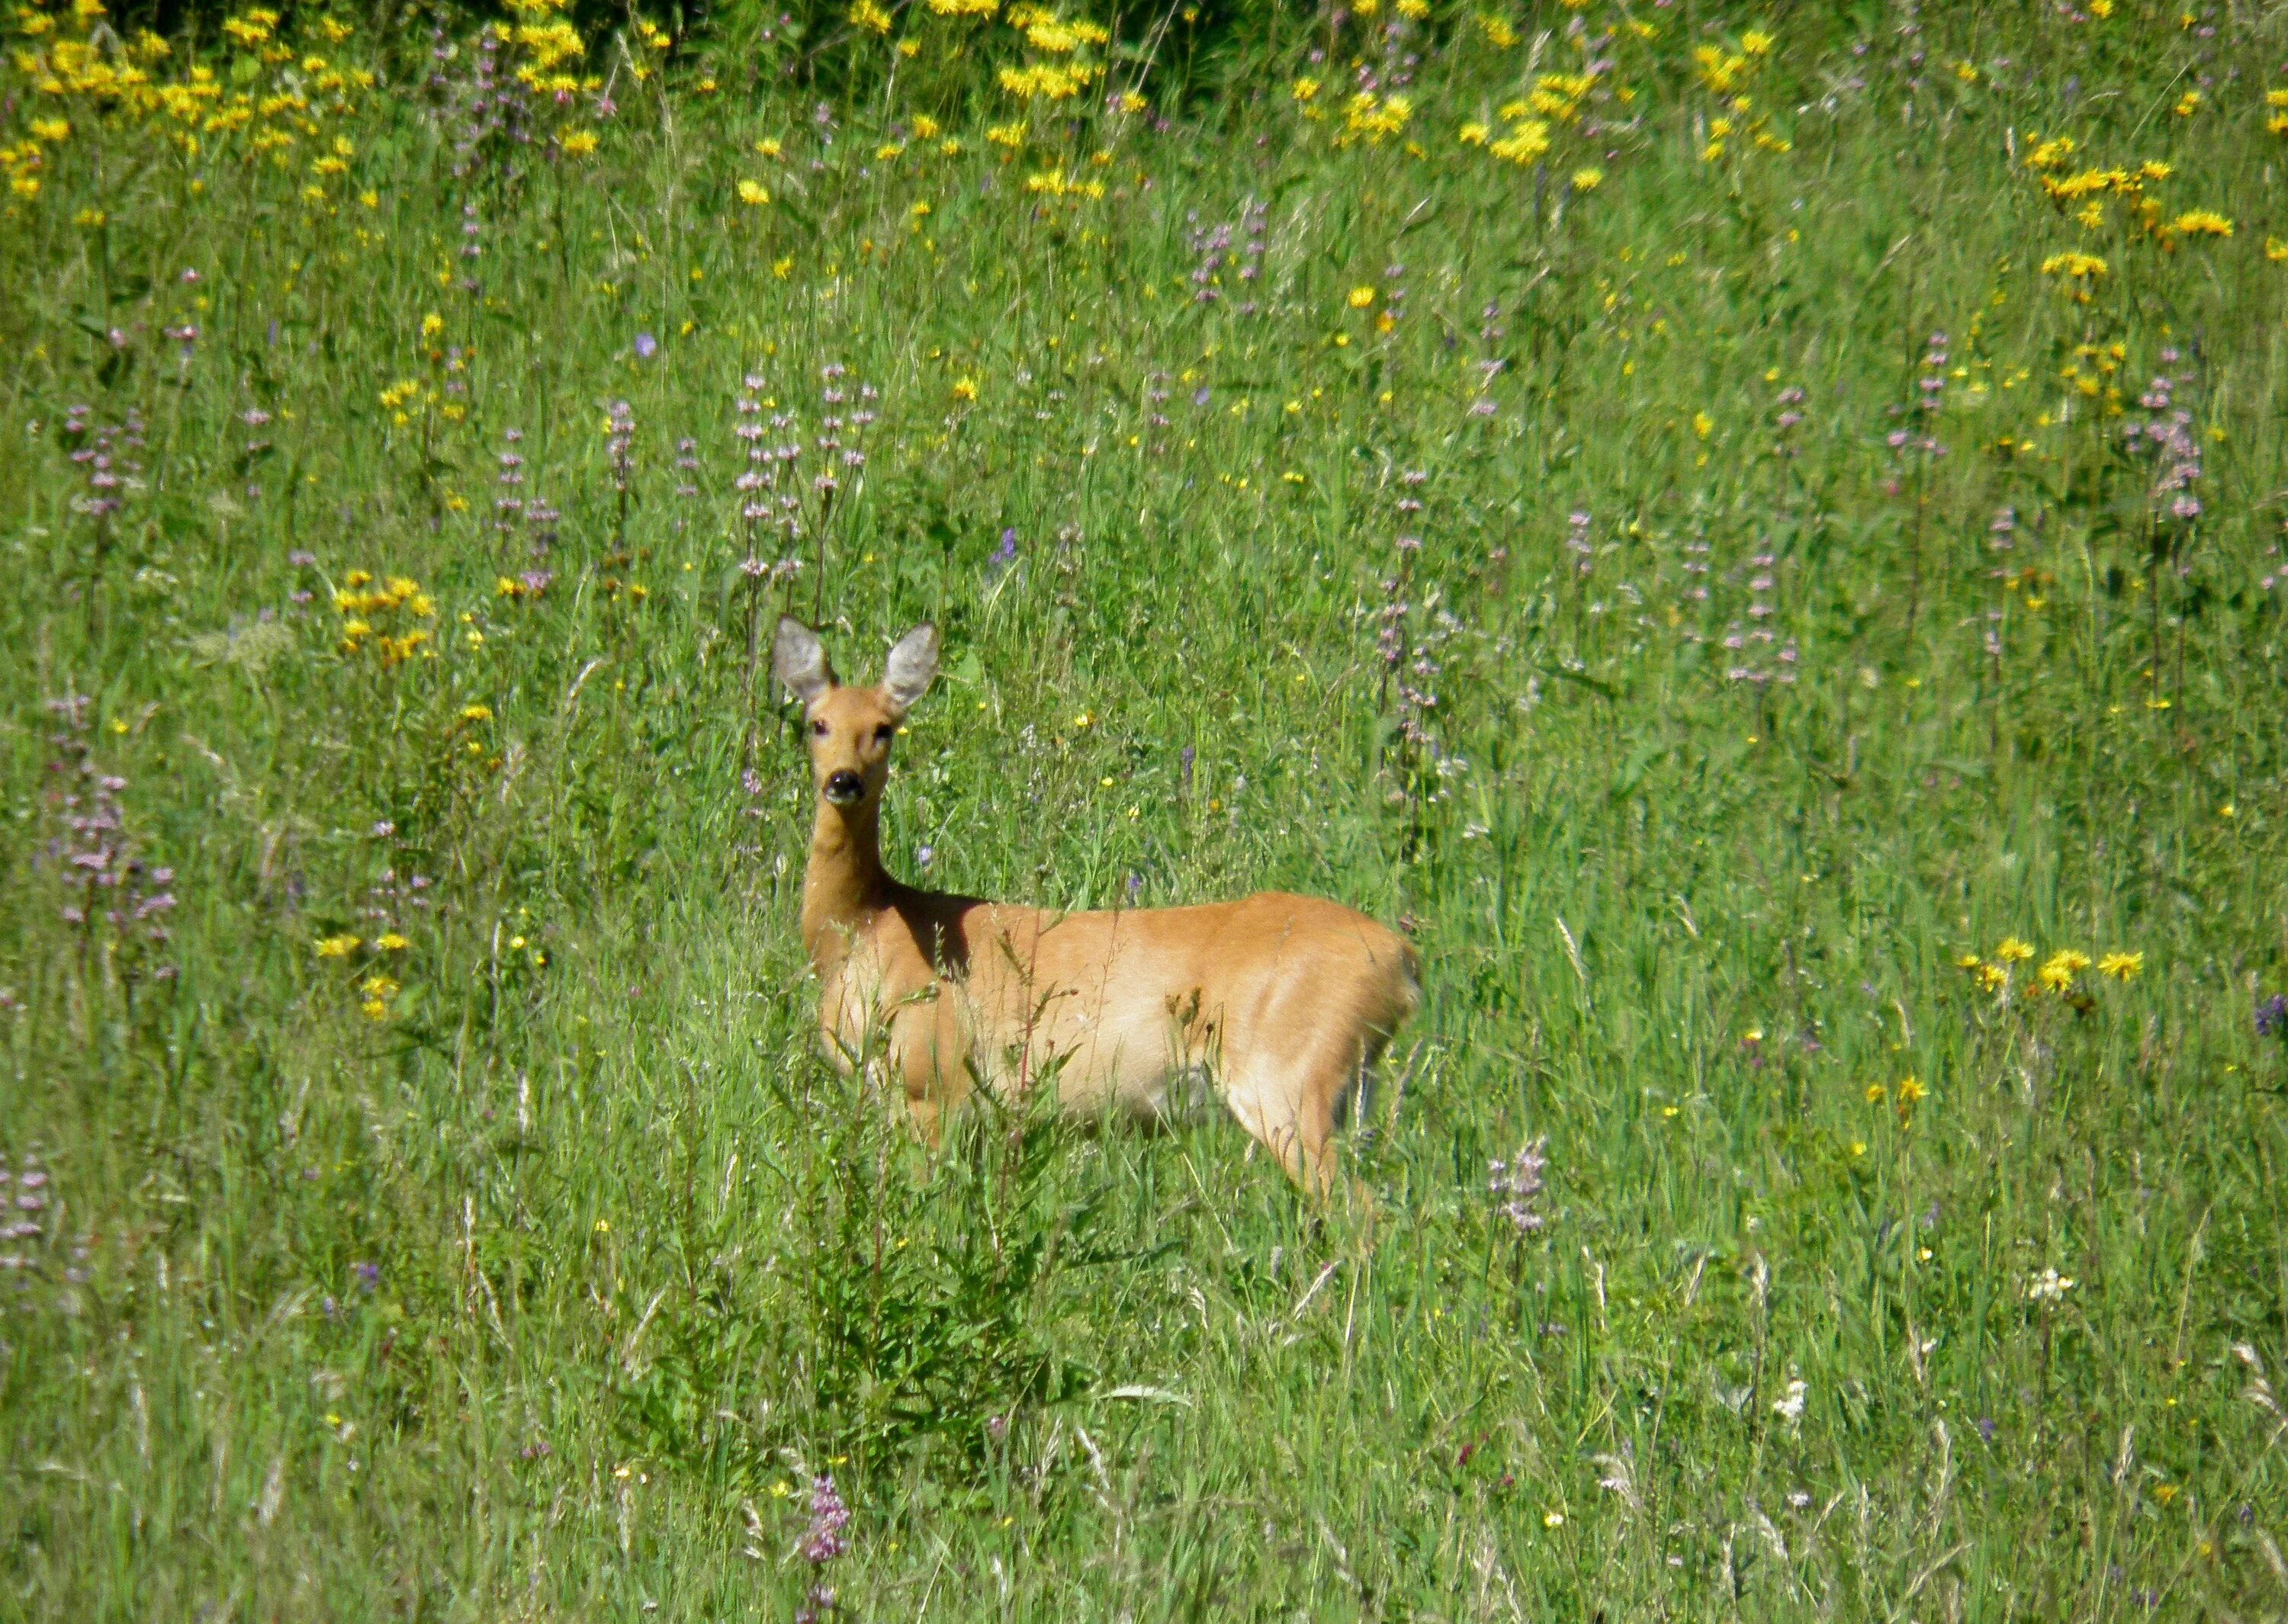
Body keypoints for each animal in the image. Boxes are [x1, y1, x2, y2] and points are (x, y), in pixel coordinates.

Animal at [782, 613, 1409, 1199]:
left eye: (883, 729)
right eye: (818, 724)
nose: (843, 781)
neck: (864, 927)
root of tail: (1403, 961)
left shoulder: (930, 1082)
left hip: (1288, 1078)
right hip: (1351, 1090)